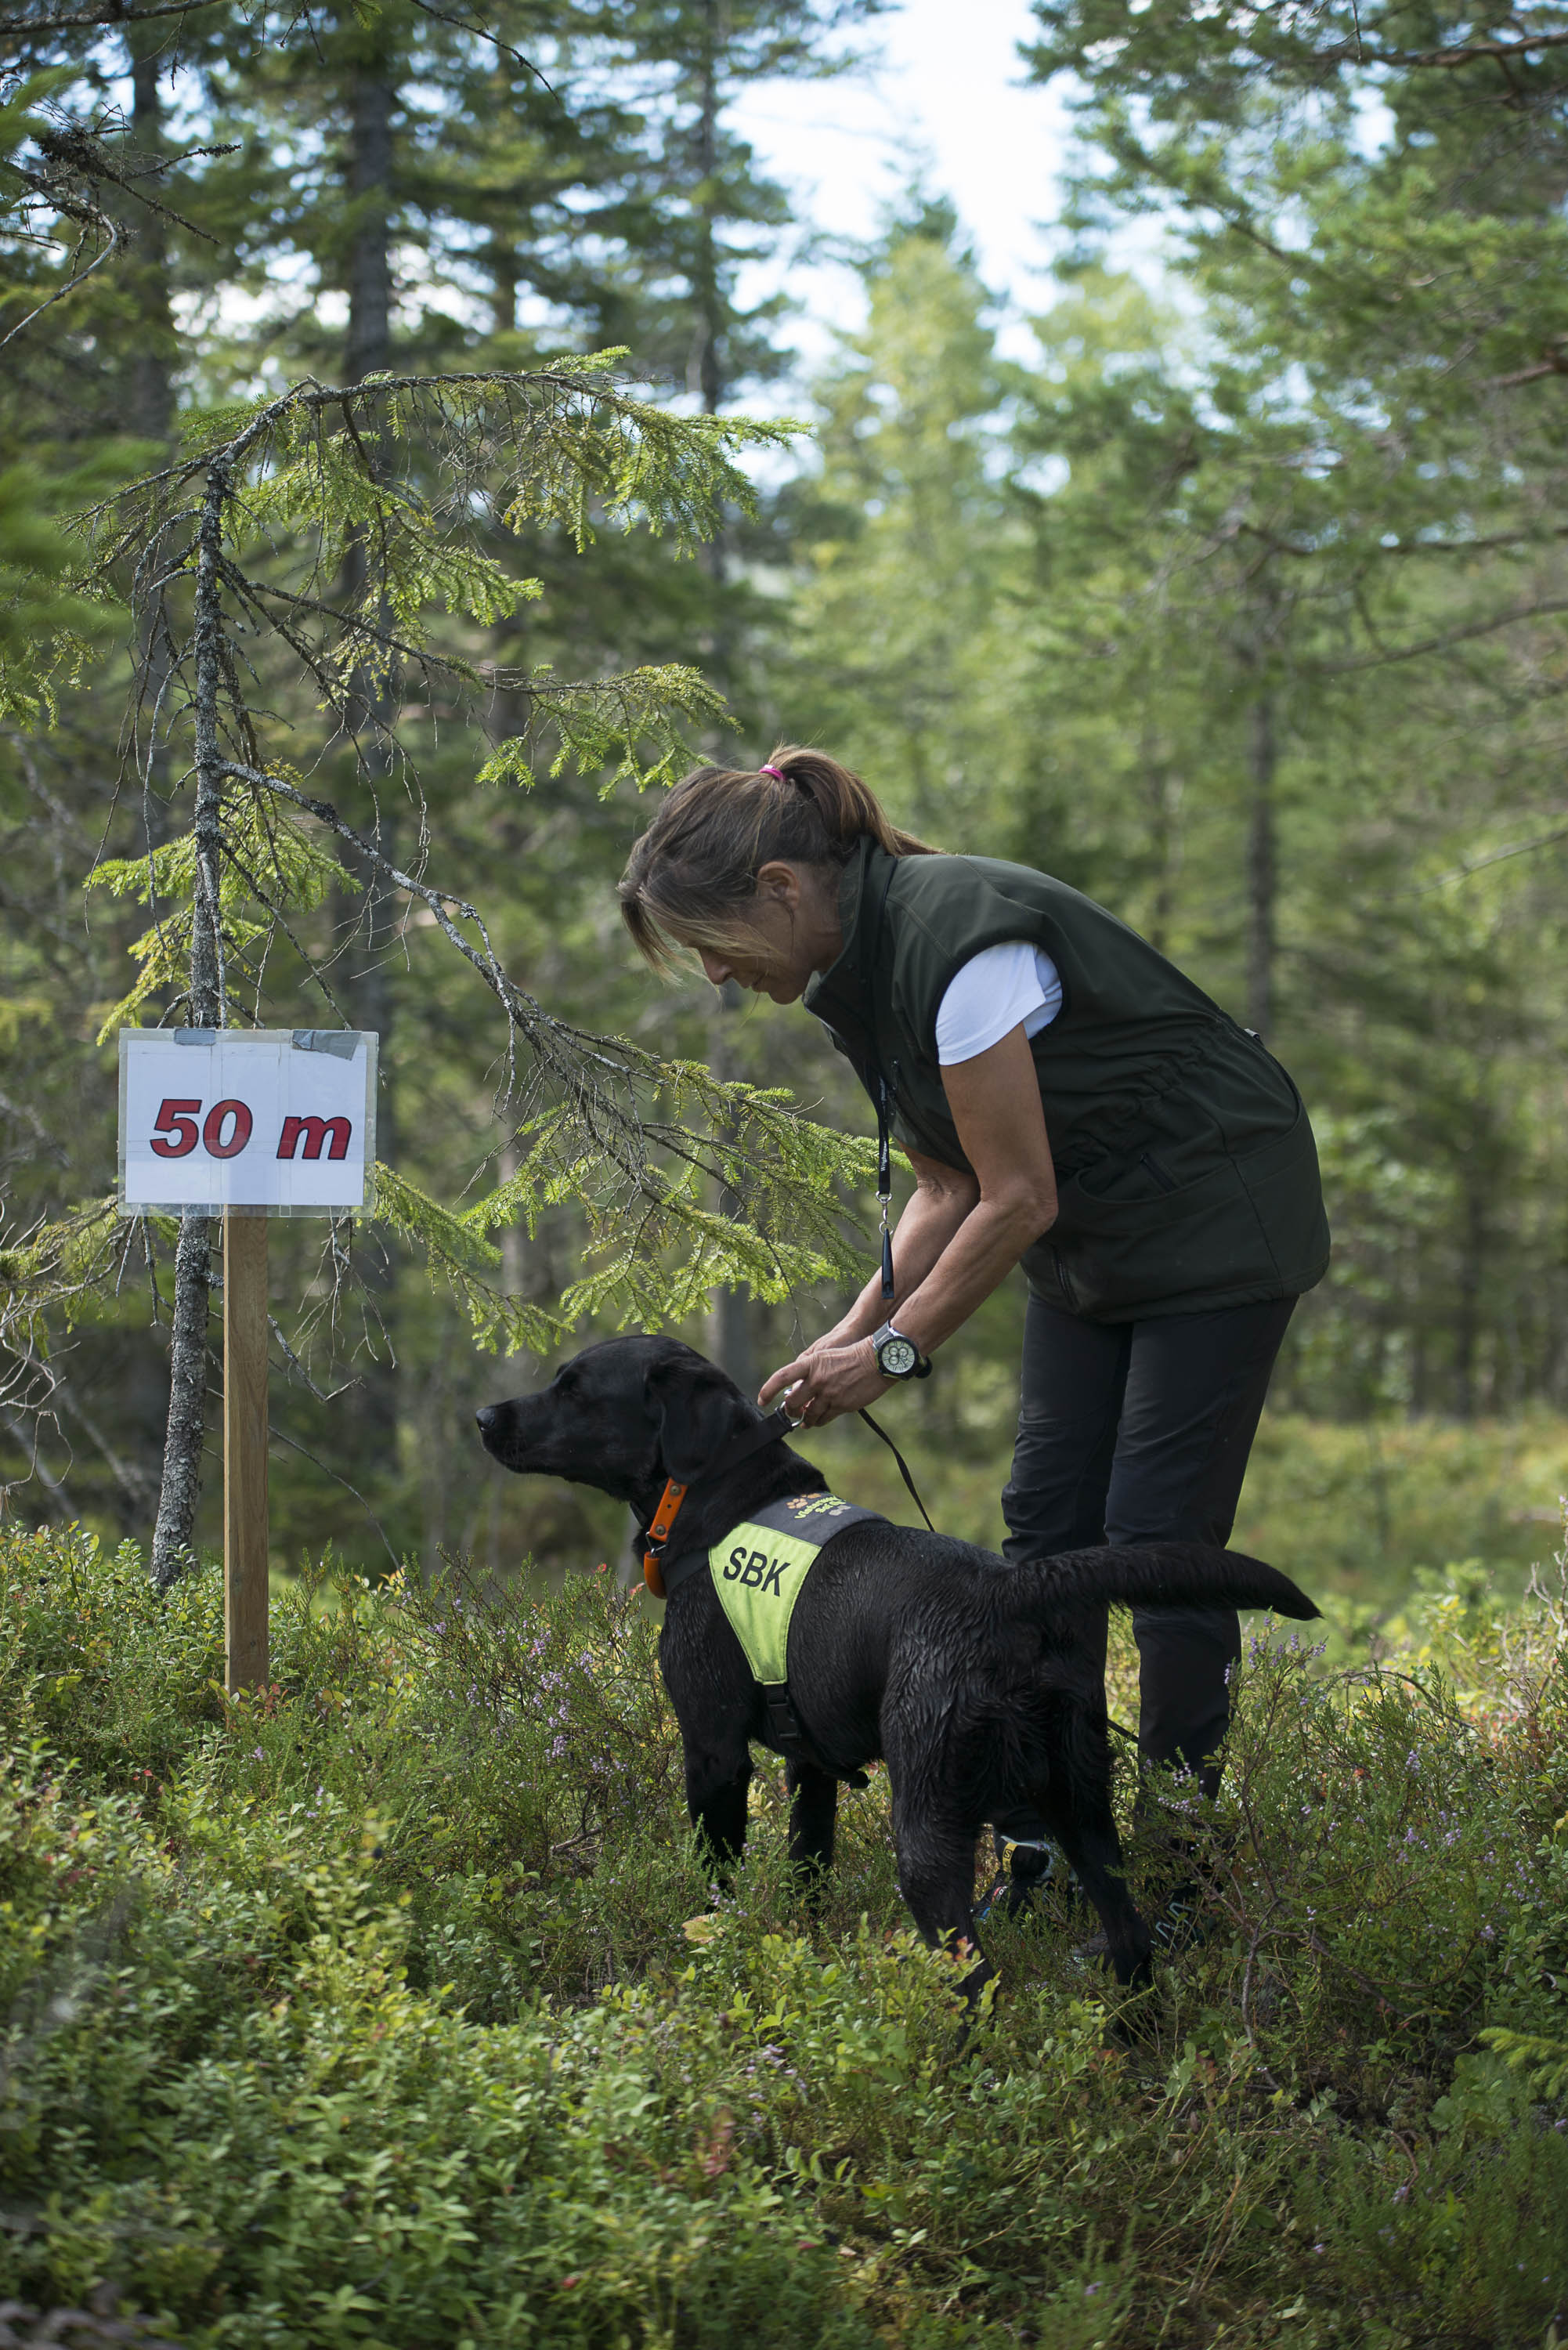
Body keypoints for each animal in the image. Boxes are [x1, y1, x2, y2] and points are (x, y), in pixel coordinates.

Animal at [472, 1344, 1316, 2002]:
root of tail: (1011, 1594)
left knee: (976, 1980)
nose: (483, 1416)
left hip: (929, 1830)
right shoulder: (810, 1771)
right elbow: (808, 1874)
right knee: (1130, 1942)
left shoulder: (713, 1752)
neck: (720, 1498)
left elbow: (716, 1881)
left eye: (574, 1387)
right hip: (1083, 1812)